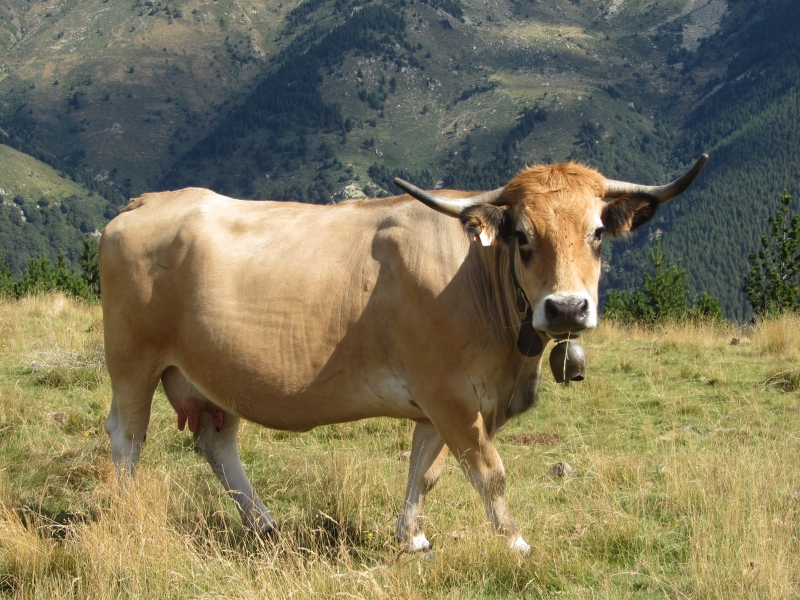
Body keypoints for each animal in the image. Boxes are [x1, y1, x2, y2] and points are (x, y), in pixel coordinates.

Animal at [100, 155, 707, 554]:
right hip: (132, 361)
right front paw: (515, 544)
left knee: (217, 443)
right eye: (523, 237)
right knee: (128, 437)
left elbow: (427, 470)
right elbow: (489, 471)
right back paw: (127, 513)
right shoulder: (450, 393)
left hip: (212, 375)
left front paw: (411, 537)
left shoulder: (443, 403)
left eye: (598, 233)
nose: (566, 307)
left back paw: (265, 527)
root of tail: (147, 202)